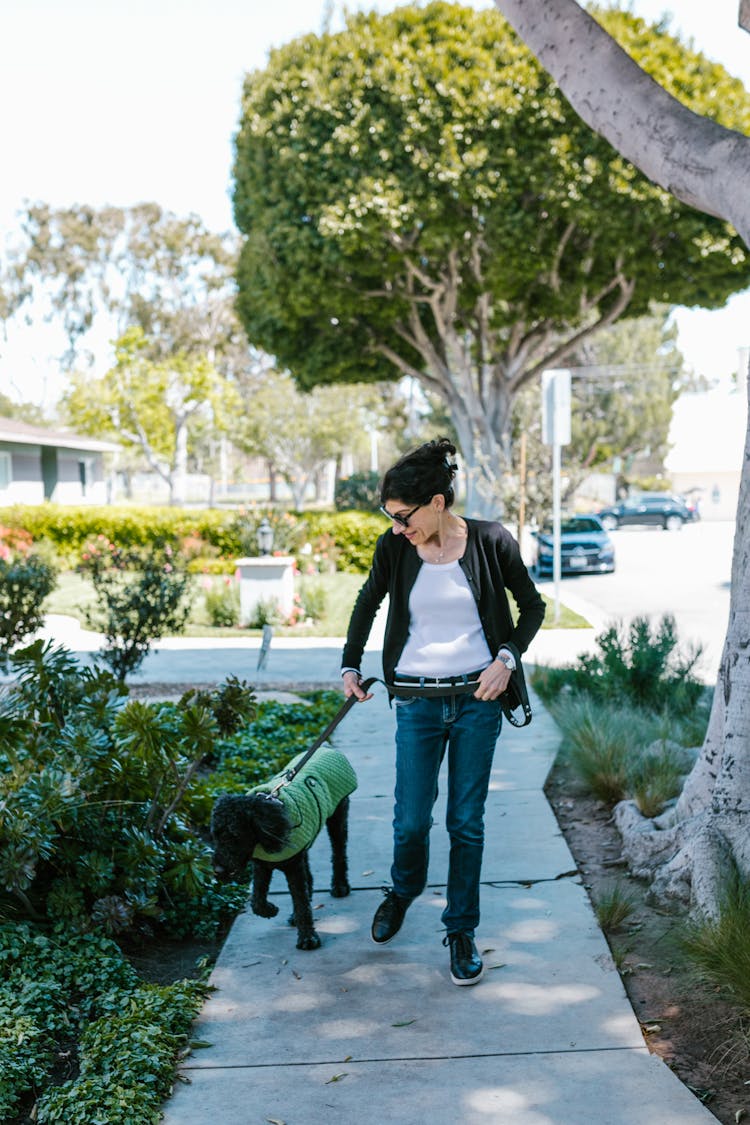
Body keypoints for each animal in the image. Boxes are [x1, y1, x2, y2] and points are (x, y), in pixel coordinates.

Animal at [208, 747, 355, 949]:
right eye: (214, 835)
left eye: (235, 835)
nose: (218, 870)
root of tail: (327, 748)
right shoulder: (262, 865)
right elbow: (257, 900)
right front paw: (270, 910)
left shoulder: (292, 867)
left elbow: (301, 902)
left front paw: (307, 938)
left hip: (338, 816)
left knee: (339, 853)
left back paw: (340, 886)